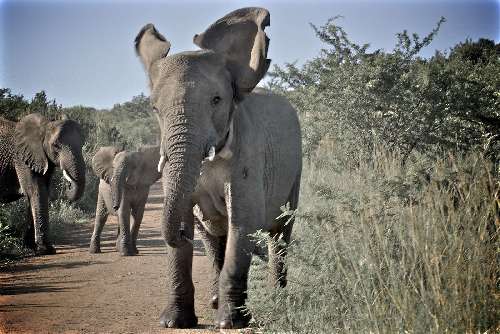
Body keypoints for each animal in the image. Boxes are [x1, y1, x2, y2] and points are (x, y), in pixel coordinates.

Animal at [0, 113, 85, 254]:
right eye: (55, 145)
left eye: (83, 144)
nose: (68, 185)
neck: (44, 128)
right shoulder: (22, 159)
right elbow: (36, 191)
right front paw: (46, 250)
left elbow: (39, 193)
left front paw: (30, 248)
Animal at [135, 6, 302, 330]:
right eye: (155, 109)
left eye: (216, 100)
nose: (182, 232)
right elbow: (196, 235)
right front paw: (173, 322)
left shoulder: (248, 155)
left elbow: (243, 223)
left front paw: (231, 323)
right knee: (215, 241)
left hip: (296, 172)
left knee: (279, 233)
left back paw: (278, 299)